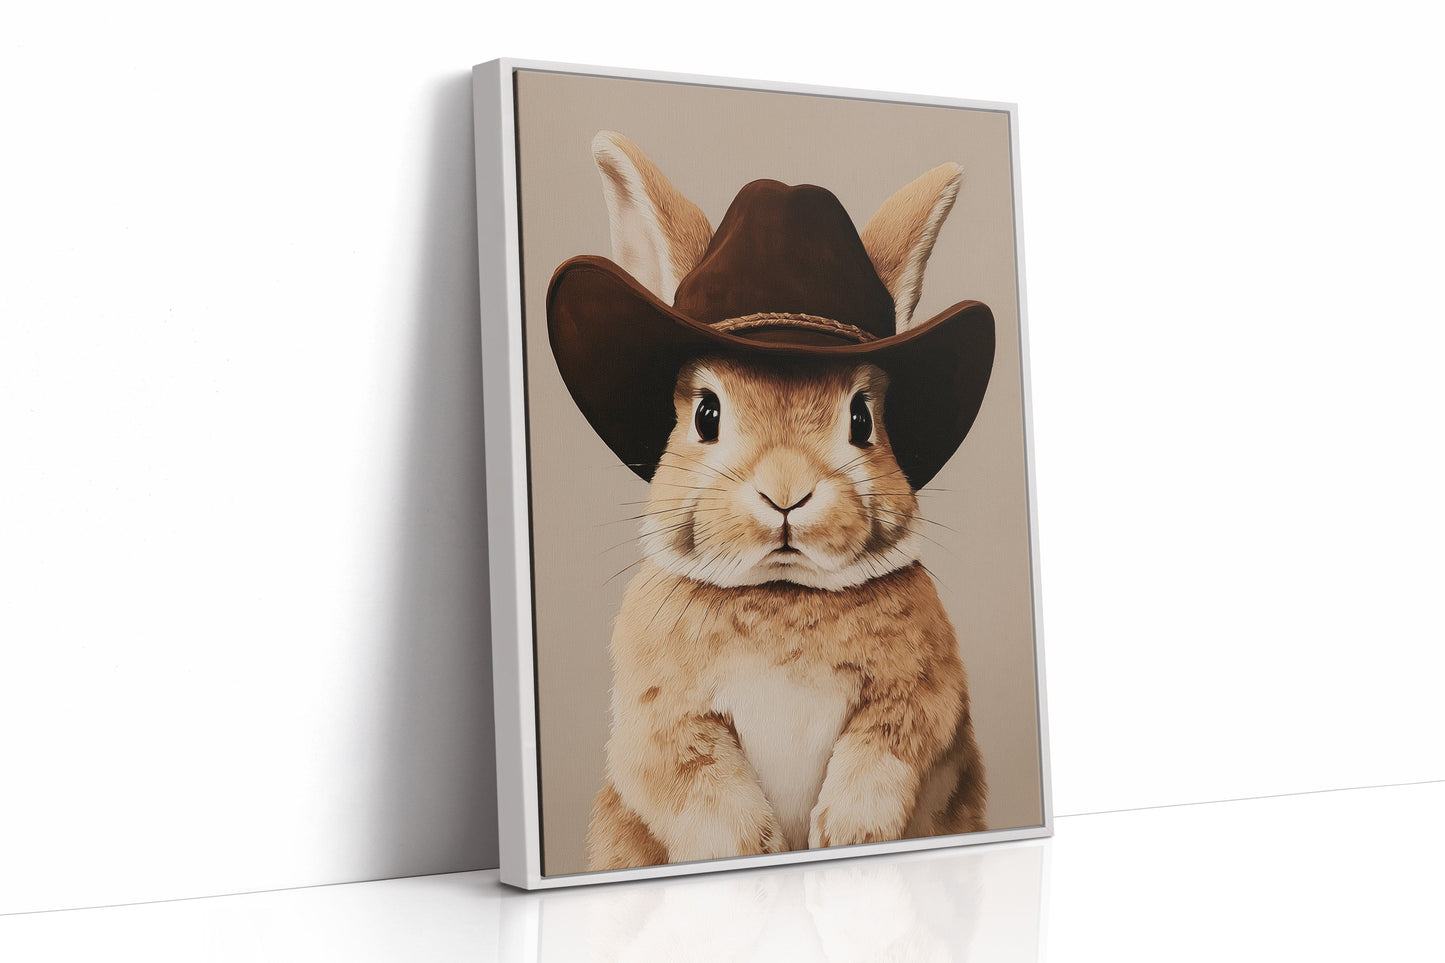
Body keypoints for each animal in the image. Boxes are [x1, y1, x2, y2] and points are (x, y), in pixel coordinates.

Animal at [574, 132, 989, 870]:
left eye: (862, 419)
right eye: (706, 413)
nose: (787, 494)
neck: (782, 592)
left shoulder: (924, 698)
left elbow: (888, 747)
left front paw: (846, 833)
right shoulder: (658, 723)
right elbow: (695, 786)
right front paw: (756, 853)